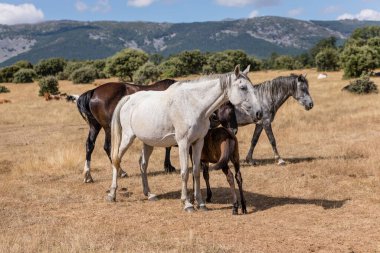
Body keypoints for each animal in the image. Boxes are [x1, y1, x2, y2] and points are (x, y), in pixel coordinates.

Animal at [107, 65, 262, 211]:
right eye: (243, 87)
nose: (259, 113)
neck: (193, 105)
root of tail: (129, 98)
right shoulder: (183, 144)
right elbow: (185, 173)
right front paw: (187, 203)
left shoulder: (198, 143)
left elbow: (196, 172)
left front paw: (200, 203)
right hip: (127, 137)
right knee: (116, 159)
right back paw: (112, 194)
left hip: (148, 142)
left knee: (143, 165)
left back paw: (149, 194)